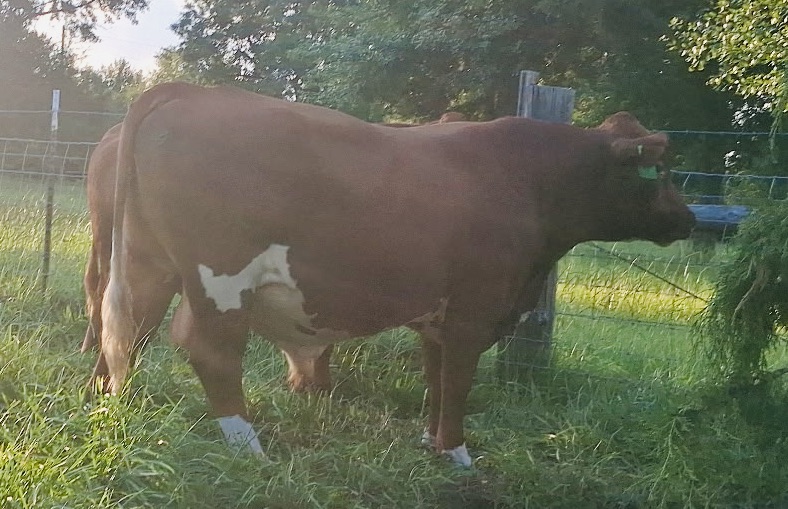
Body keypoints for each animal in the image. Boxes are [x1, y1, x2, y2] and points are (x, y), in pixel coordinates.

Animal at [90, 82, 694, 467]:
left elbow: (436, 376)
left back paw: (116, 407)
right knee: (206, 350)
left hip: (147, 261)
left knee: (126, 328)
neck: (531, 180)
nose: (688, 219)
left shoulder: (438, 316)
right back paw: (247, 447)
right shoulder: (475, 308)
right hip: (219, 276)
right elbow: (458, 382)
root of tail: (189, 90)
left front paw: (431, 443)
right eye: (661, 169)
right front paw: (457, 454)